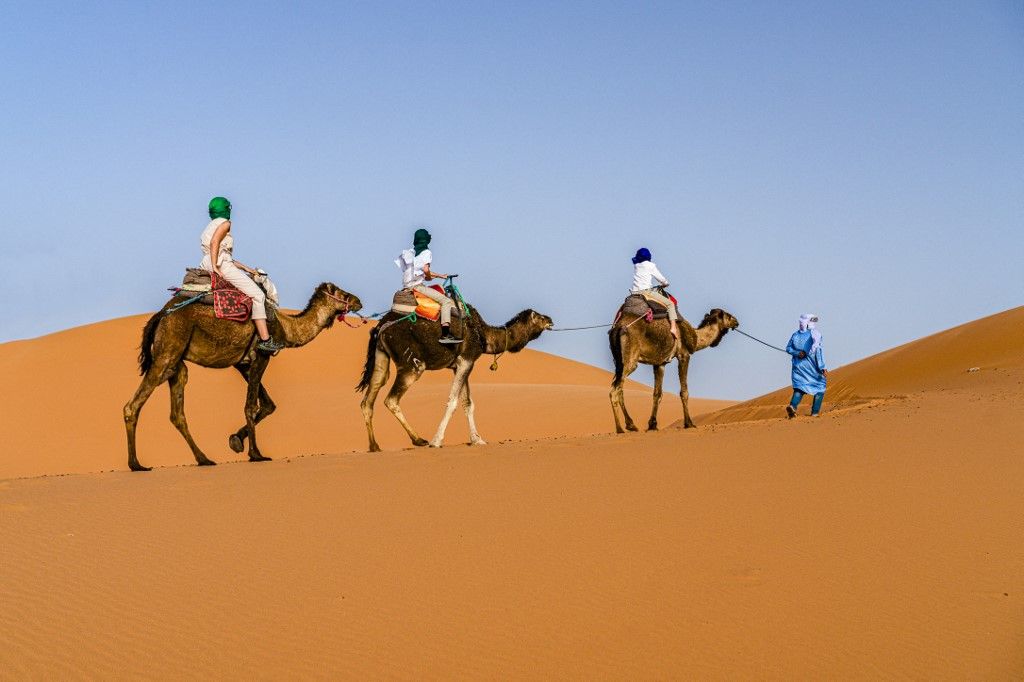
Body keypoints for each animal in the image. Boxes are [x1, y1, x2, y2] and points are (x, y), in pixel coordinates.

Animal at [124, 280, 360, 466]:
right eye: (341, 293)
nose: (358, 301)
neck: (286, 327)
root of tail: (160, 316)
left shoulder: (243, 364)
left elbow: (268, 404)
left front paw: (236, 440)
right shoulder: (262, 355)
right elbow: (250, 405)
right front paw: (256, 454)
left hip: (177, 364)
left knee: (177, 413)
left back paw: (204, 459)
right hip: (167, 352)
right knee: (133, 405)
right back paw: (136, 464)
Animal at [358, 305, 557, 448]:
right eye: (540, 317)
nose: (550, 320)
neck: (484, 335)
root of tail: (380, 327)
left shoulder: (460, 365)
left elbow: (468, 403)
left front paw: (477, 440)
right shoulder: (466, 360)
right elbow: (453, 401)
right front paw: (436, 441)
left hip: (381, 356)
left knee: (370, 397)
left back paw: (374, 446)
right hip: (412, 364)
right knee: (391, 399)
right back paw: (419, 440)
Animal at [606, 303, 737, 430]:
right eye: (728, 315)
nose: (736, 321)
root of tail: (618, 328)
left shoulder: (660, 363)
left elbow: (657, 393)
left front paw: (653, 425)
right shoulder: (684, 355)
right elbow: (684, 391)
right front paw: (689, 423)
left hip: (618, 361)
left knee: (617, 387)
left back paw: (628, 426)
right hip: (630, 359)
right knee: (615, 389)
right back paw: (623, 427)